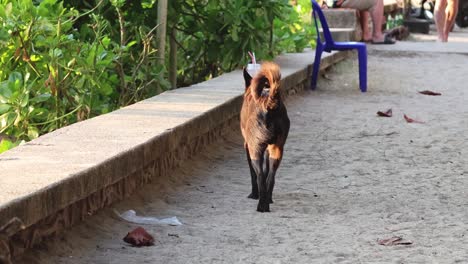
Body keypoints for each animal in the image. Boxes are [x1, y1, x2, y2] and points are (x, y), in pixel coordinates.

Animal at [241, 62, 288, 212]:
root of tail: (268, 104)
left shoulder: (247, 146)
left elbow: (253, 174)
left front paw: (254, 194)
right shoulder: (268, 149)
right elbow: (267, 171)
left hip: (255, 150)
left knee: (260, 176)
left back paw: (262, 205)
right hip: (277, 149)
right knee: (270, 176)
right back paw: (268, 199)